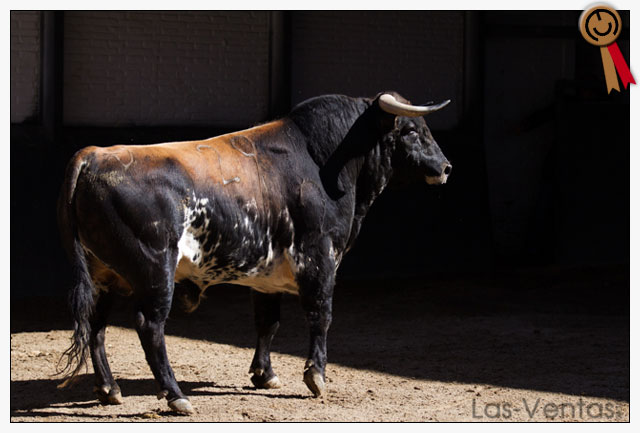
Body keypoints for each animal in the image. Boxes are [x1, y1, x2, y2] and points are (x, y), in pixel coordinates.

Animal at [57, 91, 452, 414]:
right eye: (411, 131)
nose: (446, 167)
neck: (324, 162)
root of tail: (94, 155)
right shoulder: (319, 259)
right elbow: (320, 316)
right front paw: (316, 376)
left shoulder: (267, 277)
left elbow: (268, 322)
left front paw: (265, 375)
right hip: (155, 272)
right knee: (149, 326)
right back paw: (175, 396)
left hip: (105, 275)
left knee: (96, 326)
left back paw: (109, 389)